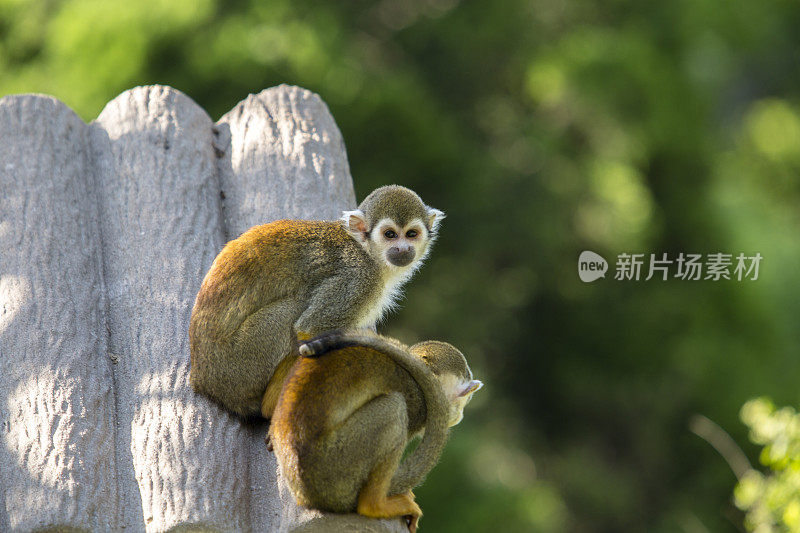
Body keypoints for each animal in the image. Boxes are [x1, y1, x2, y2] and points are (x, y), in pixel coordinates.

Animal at [188, 185, 444, 418]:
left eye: (411, 234)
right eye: (389, 234)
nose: (403, 248)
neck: (367, 253)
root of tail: (201, 377)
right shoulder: (357, 279)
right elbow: (311, 328)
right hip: (236, 364)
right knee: (291, 311)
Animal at [268, 330, 482, 528]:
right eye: (464, 398)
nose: (459, 416)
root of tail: (307, 493)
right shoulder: (418, 402)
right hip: (336, 466)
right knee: (394, 409)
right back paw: (375, 505)